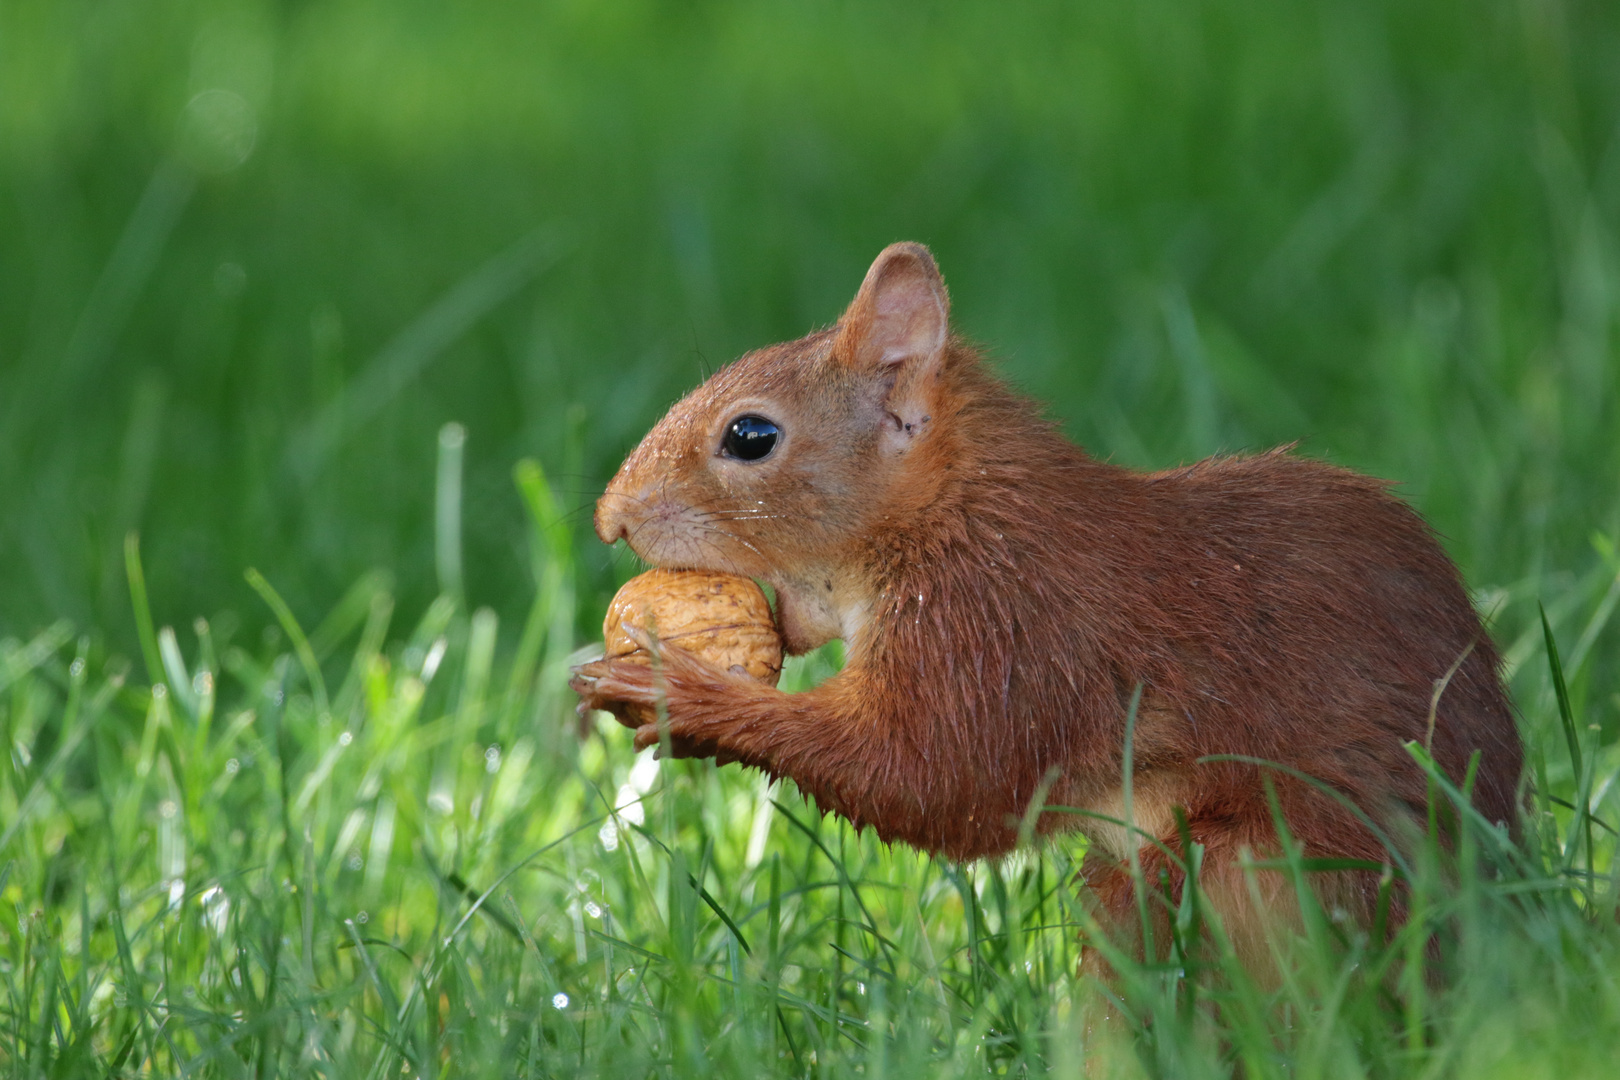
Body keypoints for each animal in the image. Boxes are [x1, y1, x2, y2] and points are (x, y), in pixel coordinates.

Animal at [570, 242, 1516, 965]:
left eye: (751, 436)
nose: (610, 516)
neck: (962, 515)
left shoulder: (1005, 629)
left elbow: (933, 777)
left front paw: (685, 693)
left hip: (1260, 872)